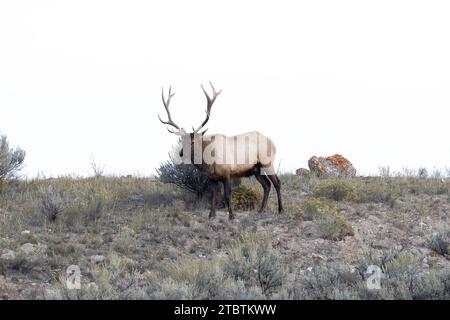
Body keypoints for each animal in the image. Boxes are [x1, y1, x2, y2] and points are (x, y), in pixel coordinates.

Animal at [160, 82, 284, 220]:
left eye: (192, 141)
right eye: (181, 140)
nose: (181, 153)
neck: (208, 162)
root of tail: (273, 143)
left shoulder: (227, 172)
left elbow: (227, 194)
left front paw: (231, 215)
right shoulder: (212, 177)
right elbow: (213, 195)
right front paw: (211, 215)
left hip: (267, 162)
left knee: (277, 182)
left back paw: (281, 210)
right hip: (256, 169)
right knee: (267, 185)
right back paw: (260, 210)